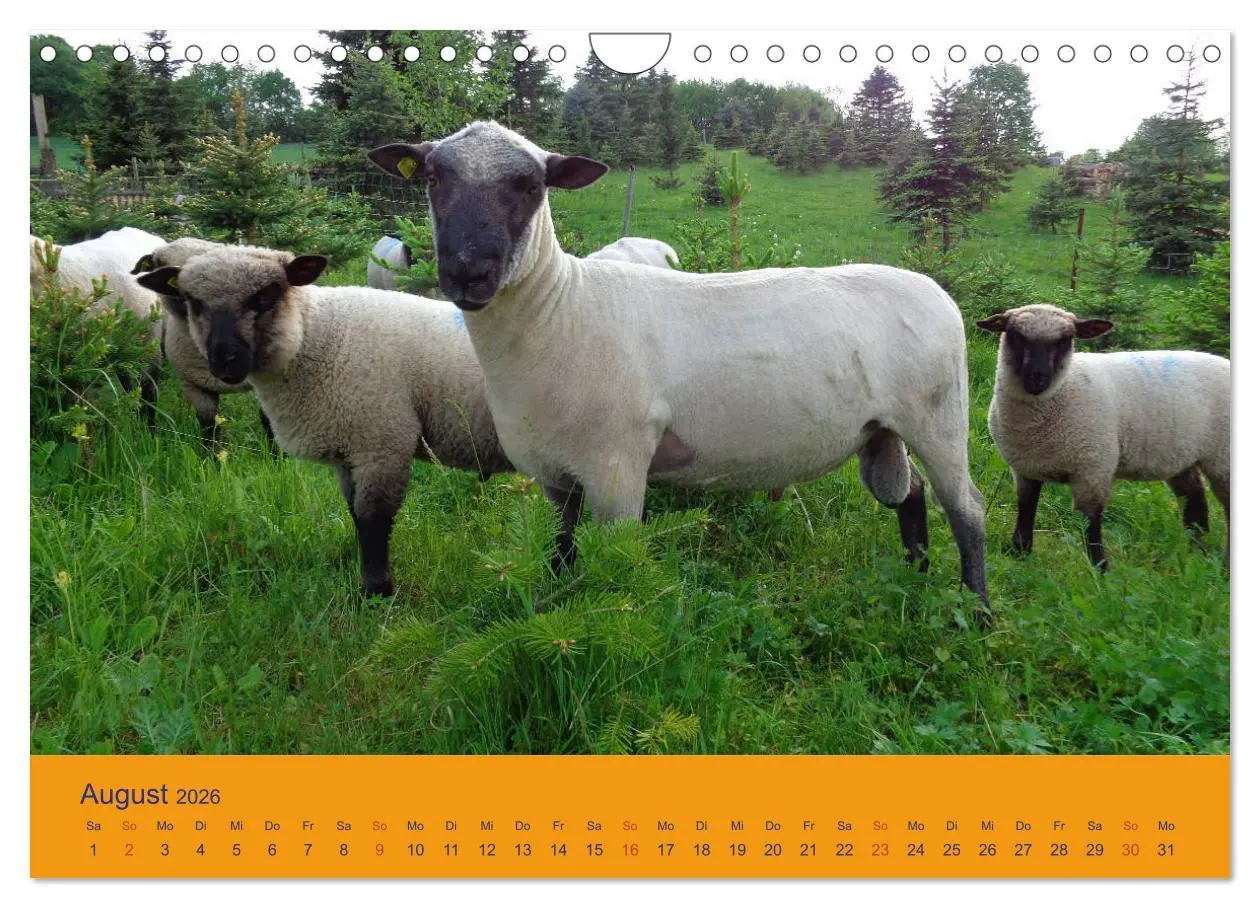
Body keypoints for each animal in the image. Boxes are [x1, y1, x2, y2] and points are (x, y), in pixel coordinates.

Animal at [131, 237, 279, 451]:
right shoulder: (194, 385)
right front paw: (212, 458)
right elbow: (210, 428)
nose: (180, 297)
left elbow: (269, 422)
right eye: (160, 264)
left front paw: (278, 456)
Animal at [367, 121, 990, 613]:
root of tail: (936, 290)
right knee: (908, 494)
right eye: (432, 179)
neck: (559, 310)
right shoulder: (554, 476)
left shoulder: (618, 467)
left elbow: (616, 564)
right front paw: (551, 606)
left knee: (968, 509)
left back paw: (977, 612)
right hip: (883, 429)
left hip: (940, 417)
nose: (468, 273)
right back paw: (915, 575)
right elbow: (560, 554)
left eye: (530, 185)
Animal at [977, 303, 1230, 570]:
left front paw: (1100, 568)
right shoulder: (1025, 468)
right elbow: (1026, 508)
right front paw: (1020, 552)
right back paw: (1197, 555)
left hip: (1222, 459)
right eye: (1016, 335)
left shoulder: (1093, 469)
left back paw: (1221, 565)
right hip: (1180, 455)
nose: (1037, 379)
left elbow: (1090, 523)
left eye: (1066, 340)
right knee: (1195, 499)